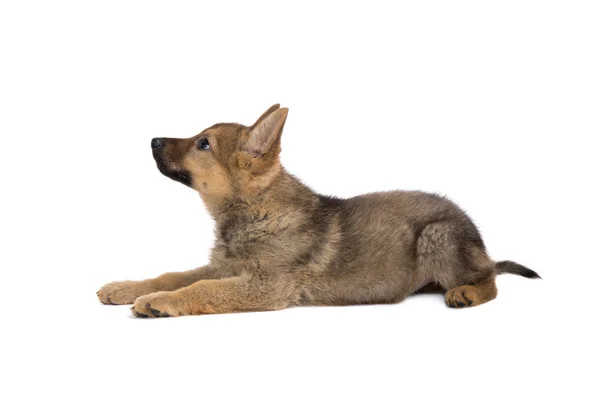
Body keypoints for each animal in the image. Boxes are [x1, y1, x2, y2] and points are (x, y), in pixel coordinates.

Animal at [97, 104, 540, 318]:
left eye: (203, 144)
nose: (153, 140)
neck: (254, 211)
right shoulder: (225, 267)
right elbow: (175, 275)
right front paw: (128, 287)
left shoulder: (264, 286)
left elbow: (200, 288)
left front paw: (159, 301)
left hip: (437, 236)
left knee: (490, 279)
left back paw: (467, 292)